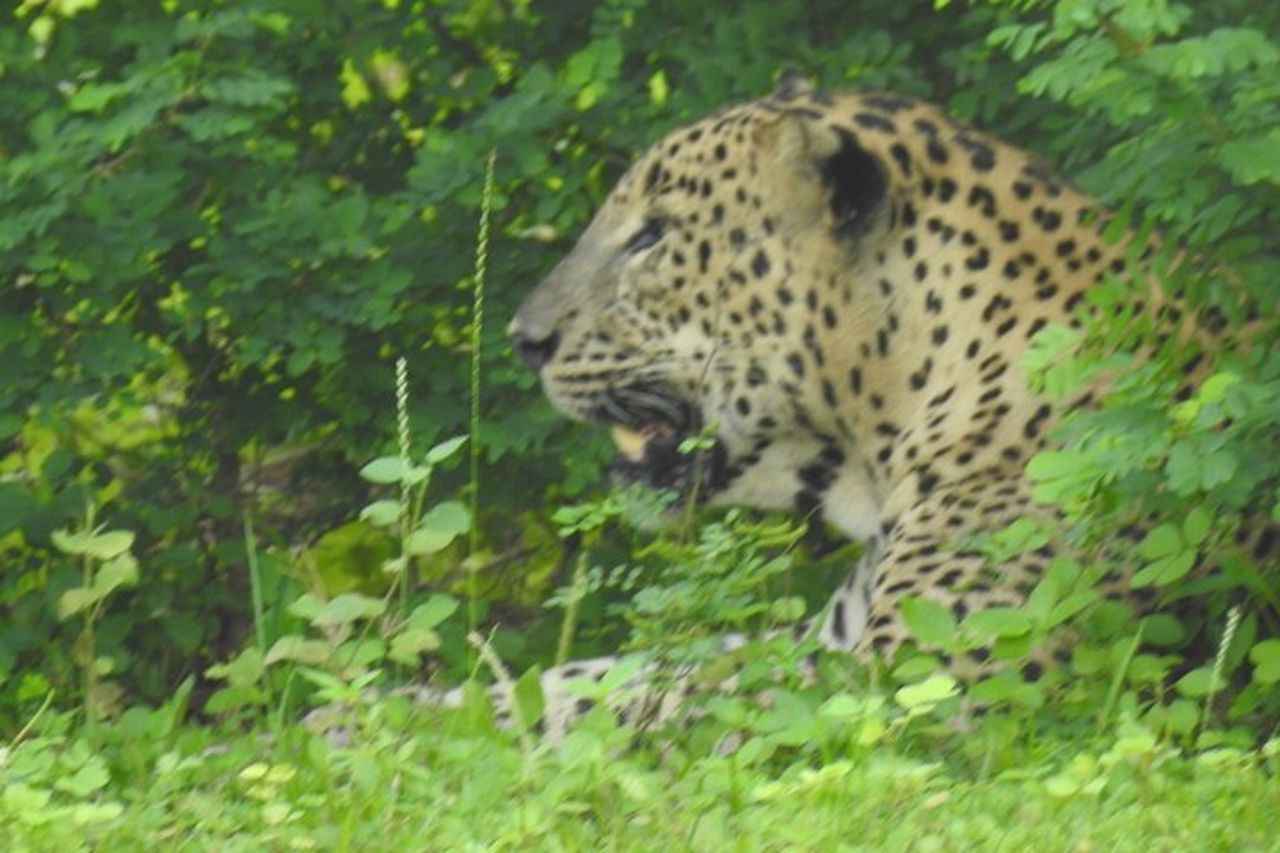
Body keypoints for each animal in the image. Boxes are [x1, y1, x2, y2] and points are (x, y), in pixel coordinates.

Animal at [500, 76, 1256, 738]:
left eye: (652, 235)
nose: (523, 341)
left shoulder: (911, 682)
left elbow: (674, 696)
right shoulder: (832, 637)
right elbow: (632, 668)